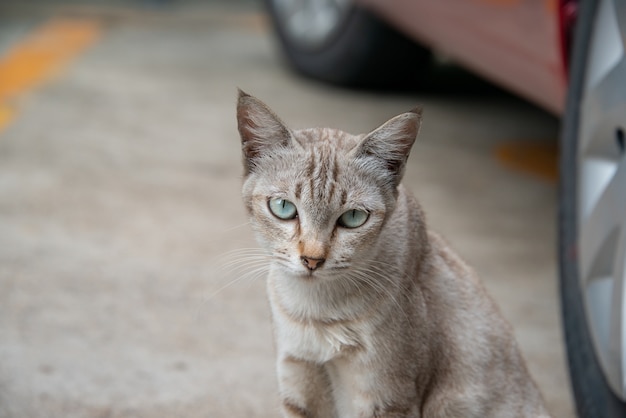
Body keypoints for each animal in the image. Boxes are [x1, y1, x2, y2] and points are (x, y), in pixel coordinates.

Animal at [236, 89, 548, 418]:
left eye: (353, 218)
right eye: (283, 208)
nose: (312, 260)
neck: (317, 312)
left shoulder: (387, 397)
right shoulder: (299, 377)